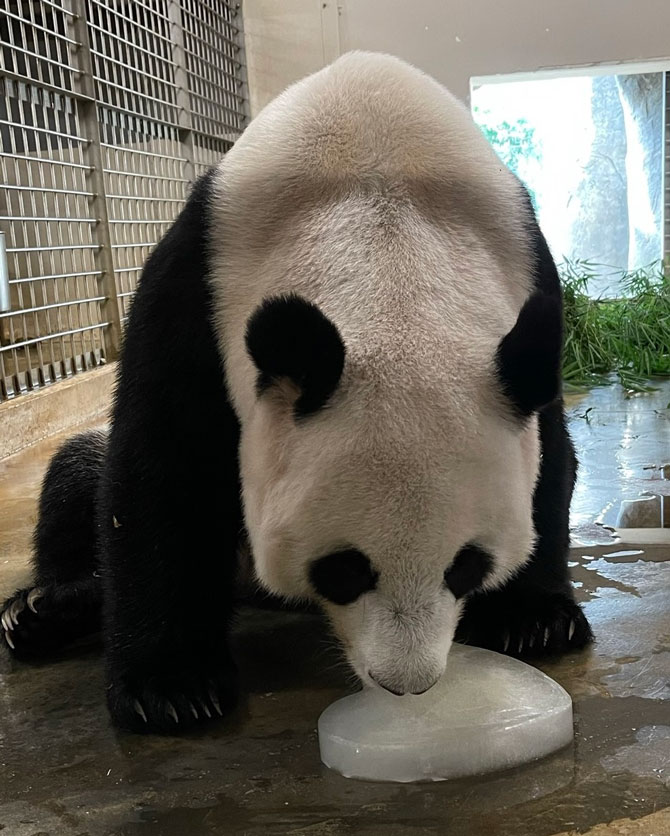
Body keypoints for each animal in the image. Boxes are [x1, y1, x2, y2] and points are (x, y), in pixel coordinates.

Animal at [0, 54, 592, 732]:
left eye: (466, 566)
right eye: (343, 571)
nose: (405, 683)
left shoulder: (523, 266)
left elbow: (549, 455)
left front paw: (533, 620)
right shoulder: (201, 275)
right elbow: (164, 466)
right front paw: (171, 688)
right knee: (78, 476)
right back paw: (43, 611)